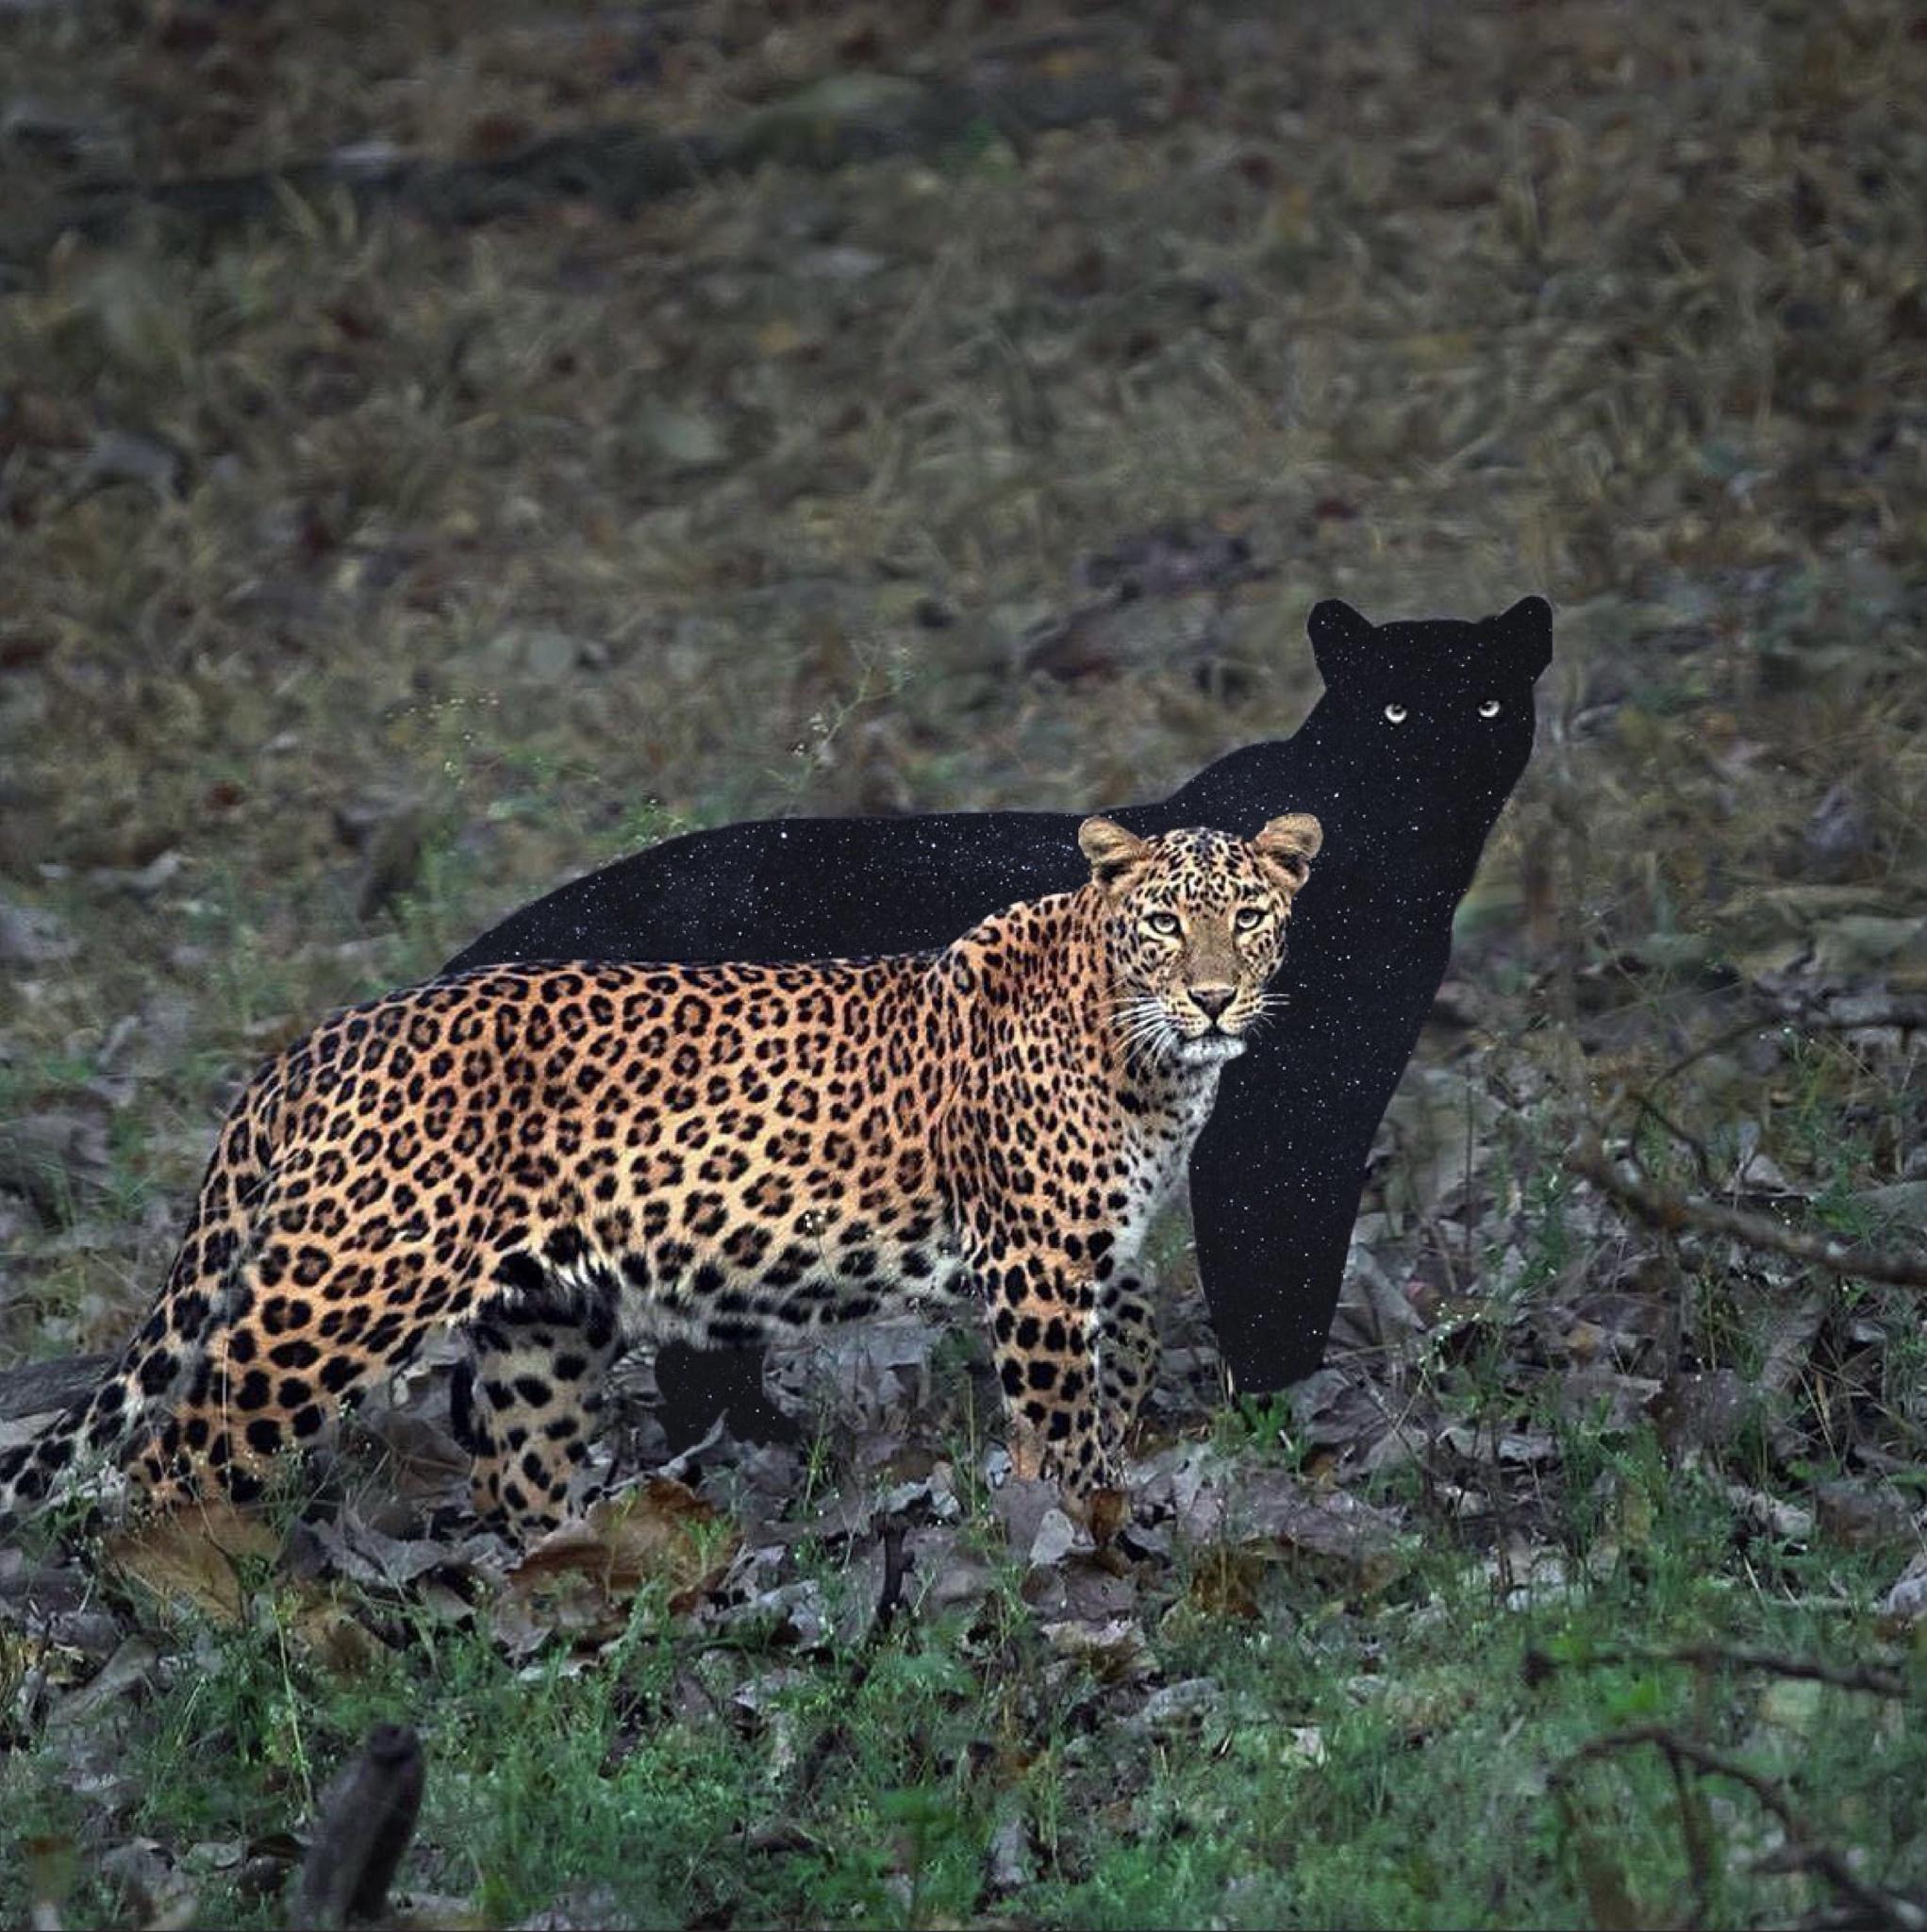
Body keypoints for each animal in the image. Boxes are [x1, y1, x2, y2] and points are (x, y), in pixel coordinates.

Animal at [0, 812, 1322, 1546]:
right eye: (1165, 924)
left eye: (1249, 917)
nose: (1213, 997)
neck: (1150, 1056)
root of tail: (311, 1045)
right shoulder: (1038, 1262)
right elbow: (1061, 1421)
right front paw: (1083, 1537)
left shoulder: (1096, 1251)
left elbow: (1124, 1360)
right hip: (340, 1295)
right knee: (168, 1456)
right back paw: (196, 1597)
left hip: (542, 1318)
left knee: (517, 1470)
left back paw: (579, 1583)